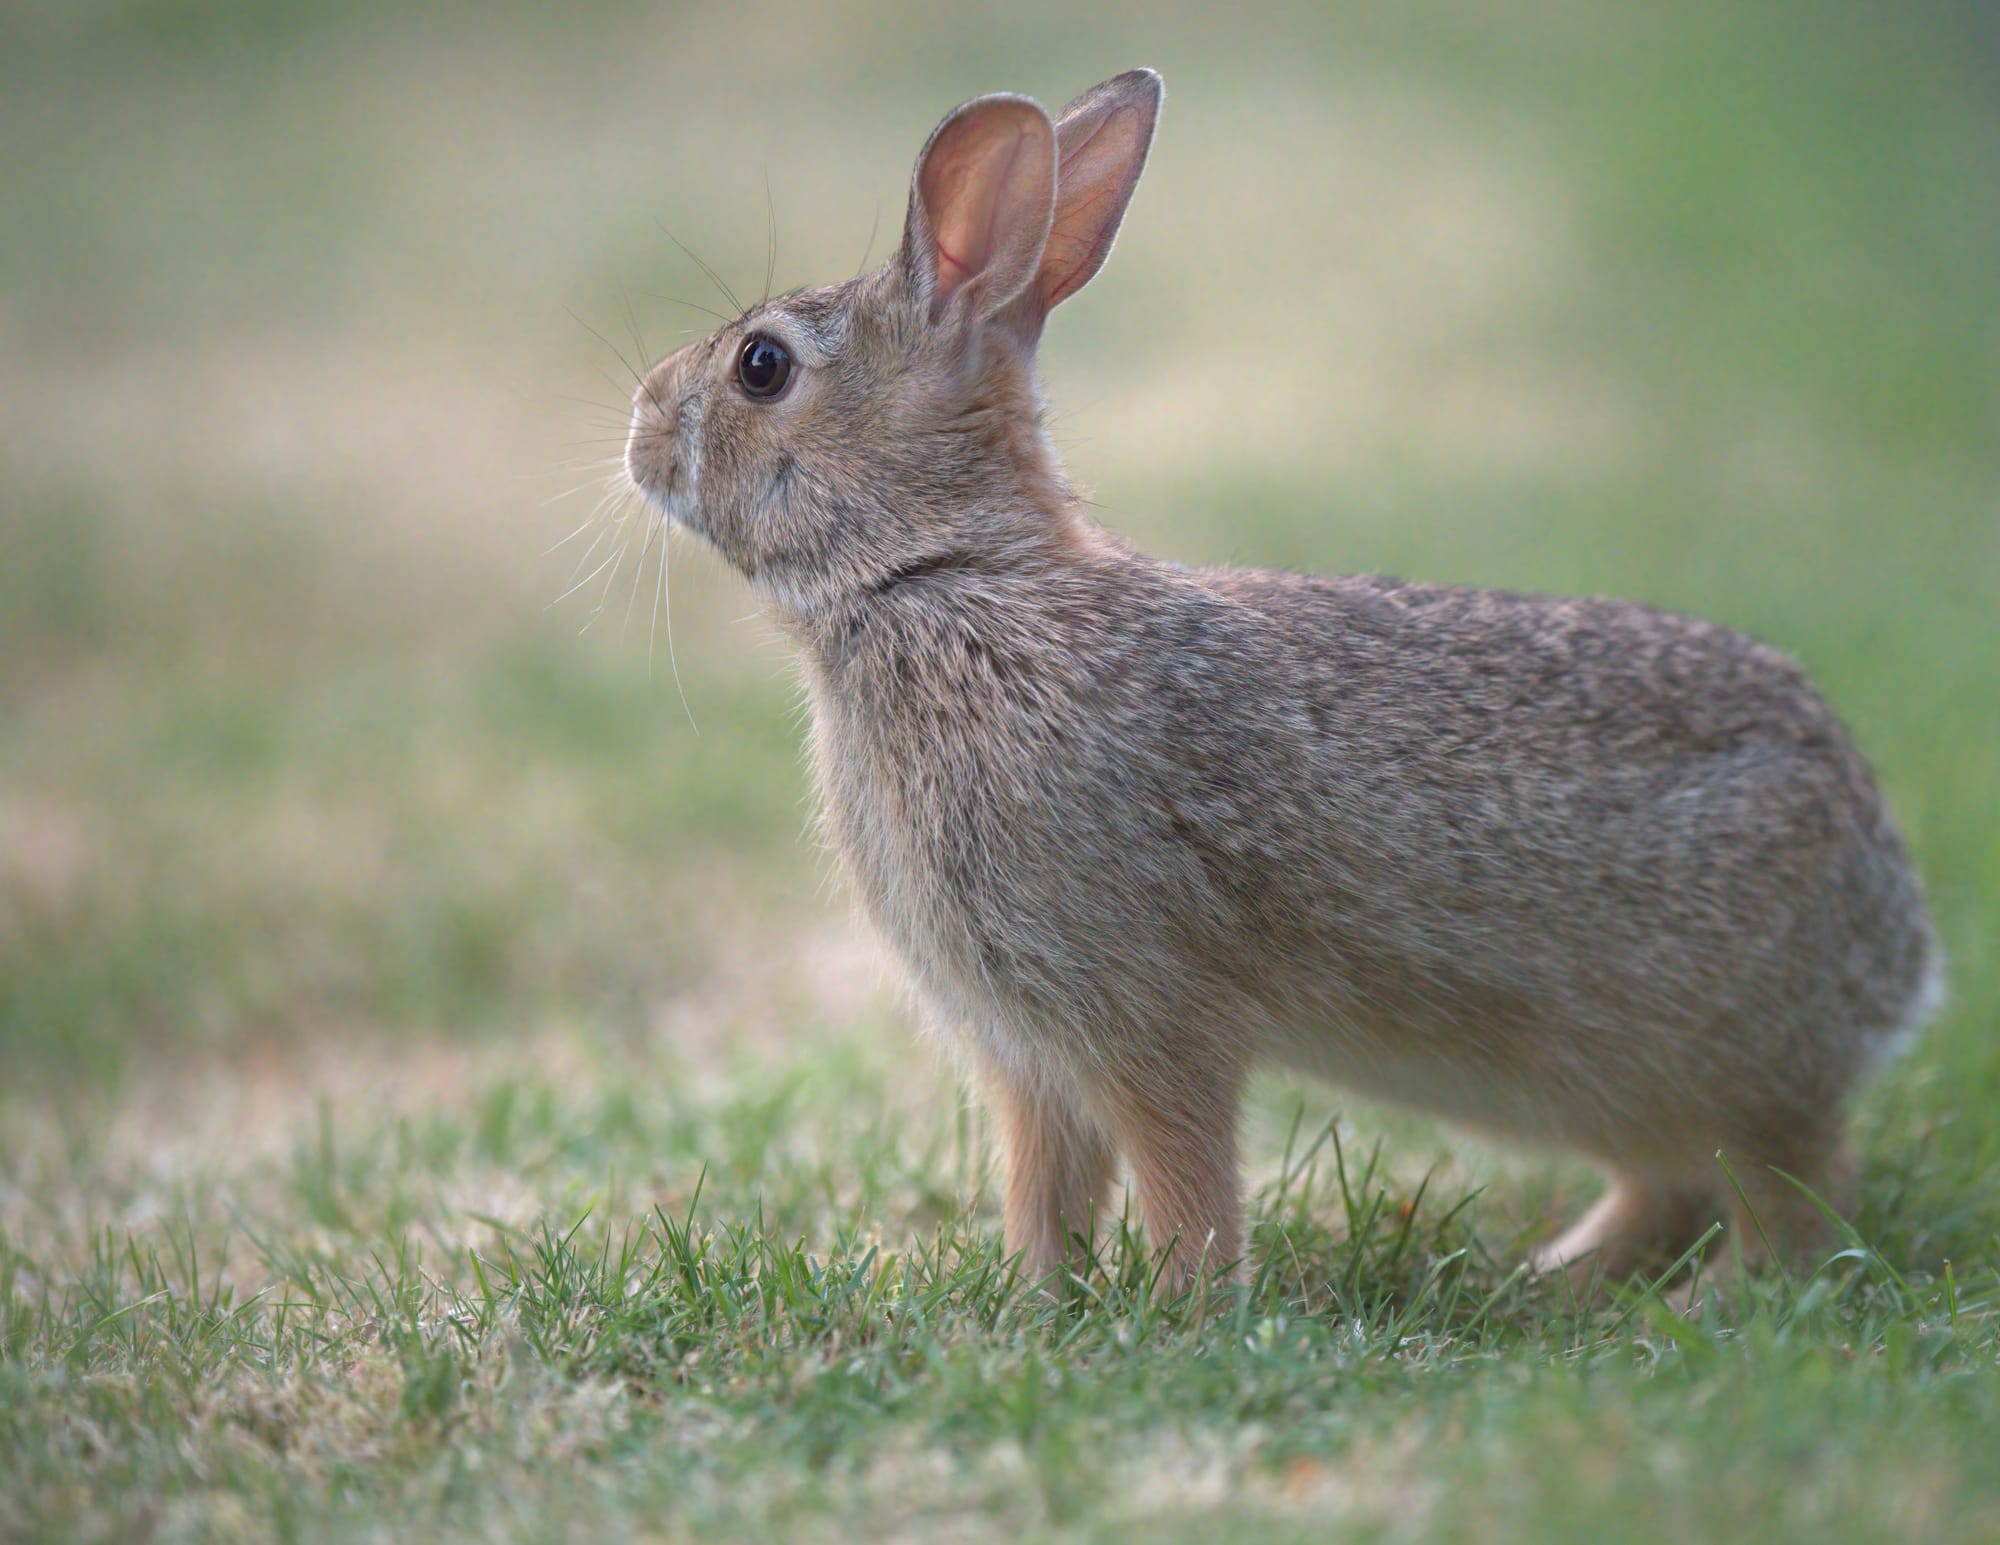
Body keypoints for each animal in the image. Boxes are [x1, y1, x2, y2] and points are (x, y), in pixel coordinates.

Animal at [622, 68, 1942, 1295]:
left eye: (760, 366)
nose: (636, 426)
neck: (938, 579)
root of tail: (1896, 943)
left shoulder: (1143, 1012)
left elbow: (1183, 1172)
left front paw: (1183, 1311)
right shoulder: (1027, 1052)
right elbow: (1046, 1189)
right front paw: (1037, 1301)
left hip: (1705, 1054)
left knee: (1796, 1190)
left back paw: (1704, 1303)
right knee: (1676, 1185)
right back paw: (1556, 1276)